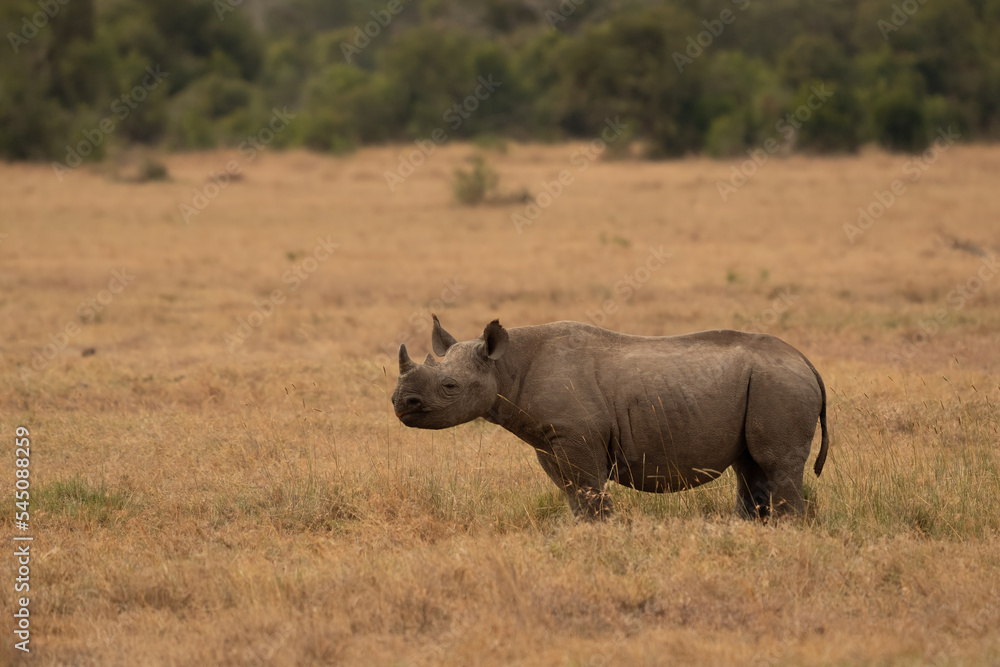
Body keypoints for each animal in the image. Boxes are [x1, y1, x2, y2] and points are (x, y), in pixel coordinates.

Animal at [391, 316, 829, 521]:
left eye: (449, 386)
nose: (399, 403)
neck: (505, 367)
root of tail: (806, 362)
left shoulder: (577, 435)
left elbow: (589, 491)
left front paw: (603, 533)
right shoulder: (550, 440)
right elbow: (572, 493)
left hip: (779, 384)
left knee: (776, 464)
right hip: (768, 383)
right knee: (751, 468)